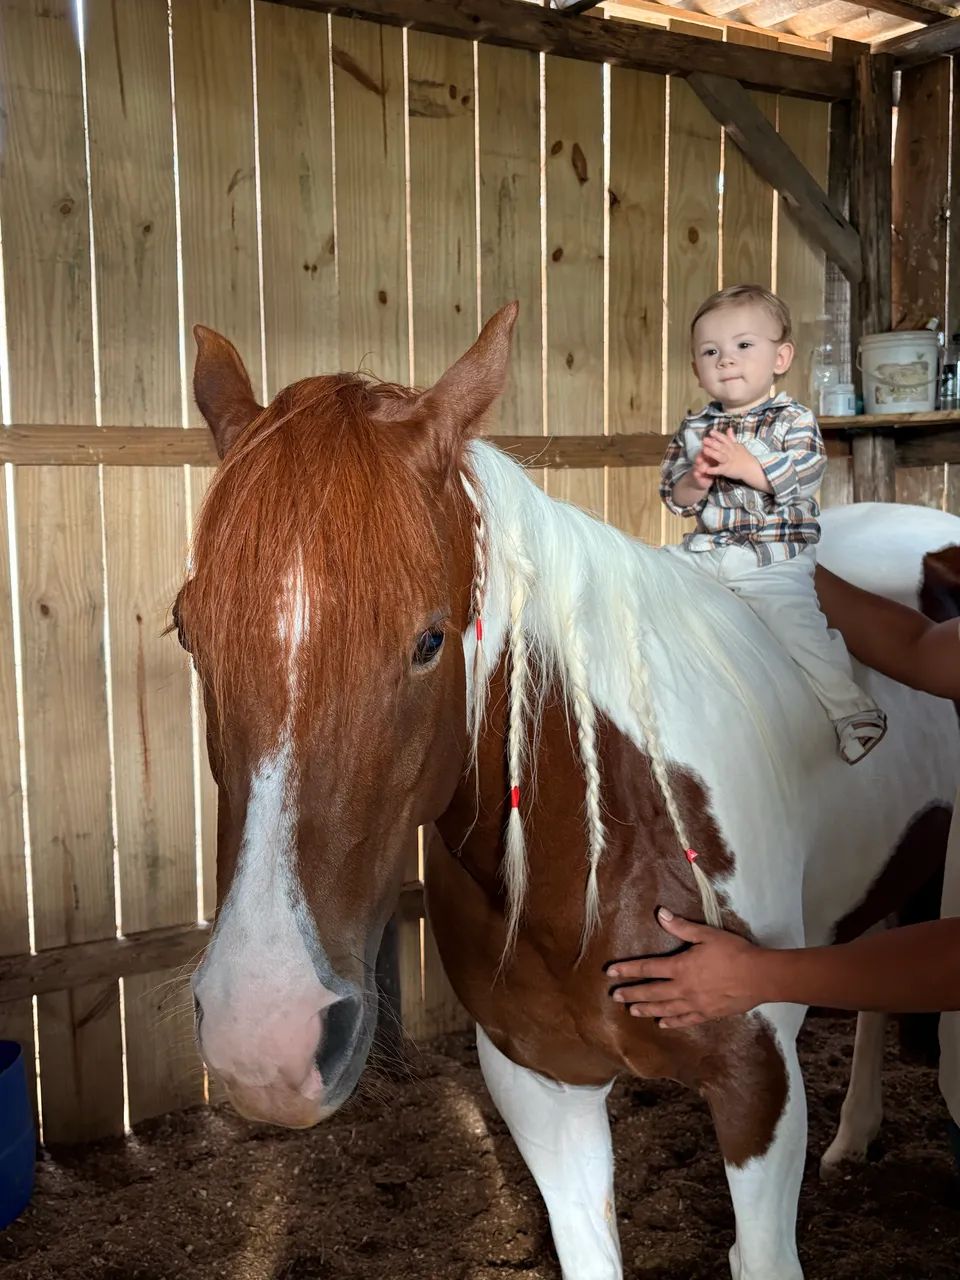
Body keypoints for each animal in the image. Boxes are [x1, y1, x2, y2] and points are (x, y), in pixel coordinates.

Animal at [179, 303, 960, 1280]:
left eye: (430, 641)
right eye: (186, 629)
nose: (265, 1039)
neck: (607, 836)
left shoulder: (759, 1084)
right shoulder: (541, 1090)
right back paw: (856, 1135)